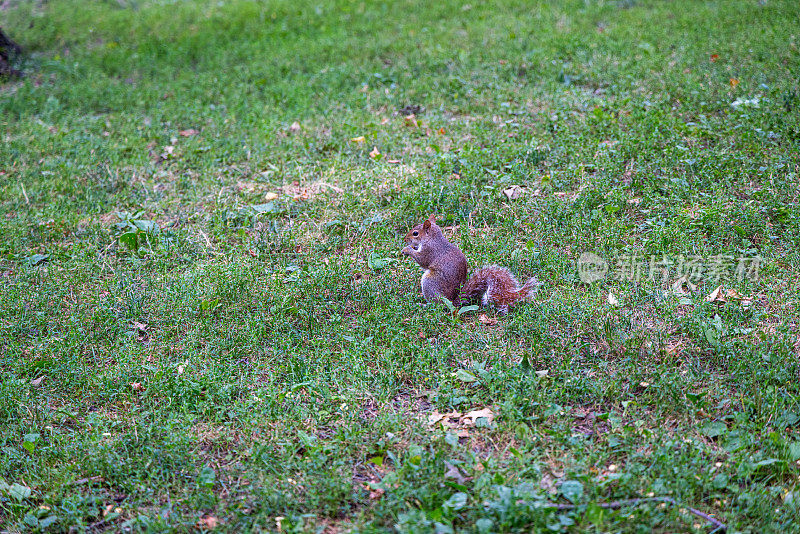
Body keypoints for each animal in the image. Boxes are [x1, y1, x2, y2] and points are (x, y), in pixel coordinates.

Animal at [400, 214, 544, 314]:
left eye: (415, 233)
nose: (405, 239)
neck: (433, 239)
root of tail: (452, 300)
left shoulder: (429, 251)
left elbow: (422, 260)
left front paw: (407, 250)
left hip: (430, 282)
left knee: (438, 304)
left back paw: (425, 305)